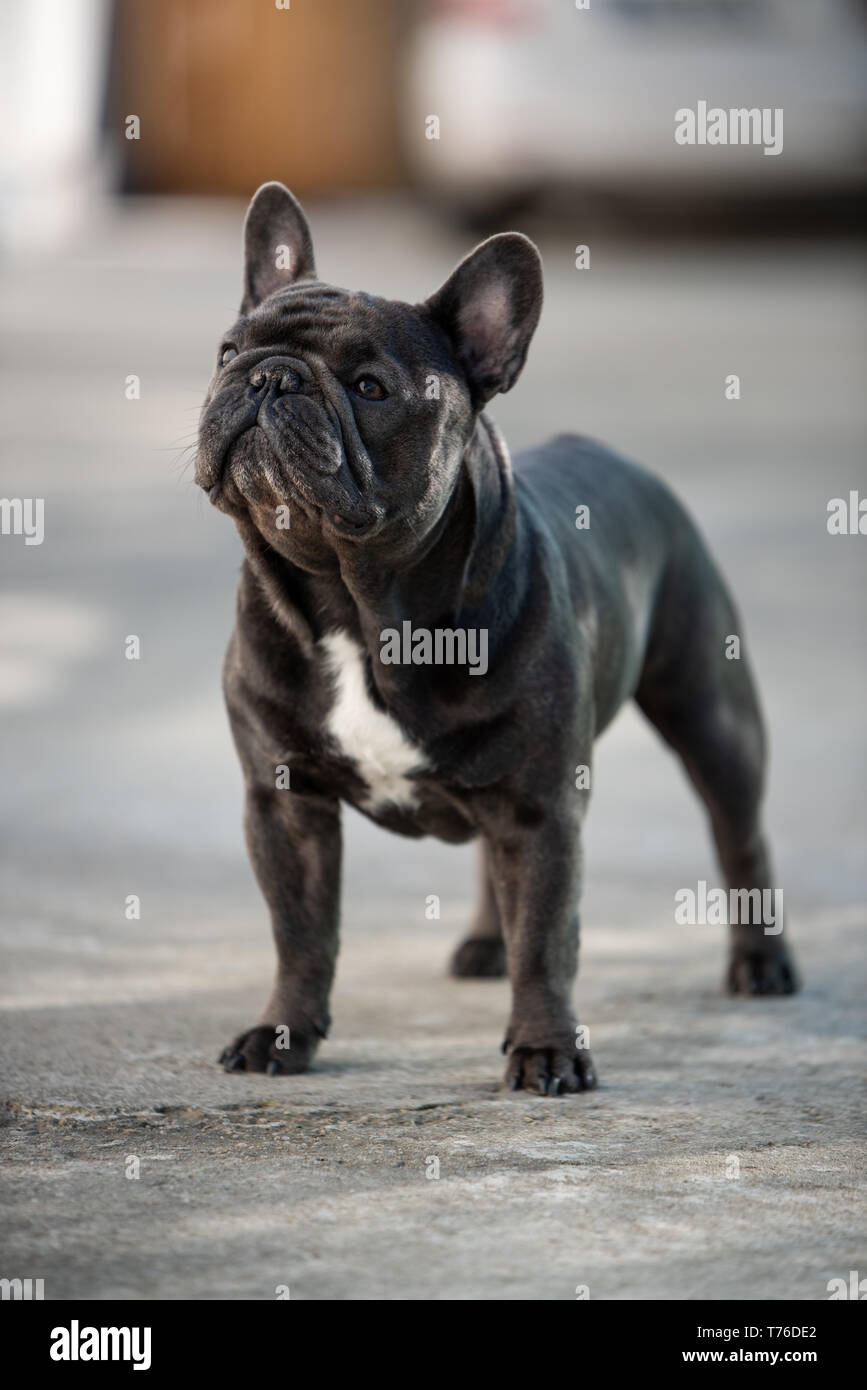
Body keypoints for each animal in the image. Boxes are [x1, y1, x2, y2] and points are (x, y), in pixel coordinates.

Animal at [195, 182, 800, 1095]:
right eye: (227, 350)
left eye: (370, 387)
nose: (268, 376)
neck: (355, 607)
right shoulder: (284, 802)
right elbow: (299, 931)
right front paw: (282, 1033)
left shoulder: (539, 807)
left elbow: (547, 939)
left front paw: (546, 1049)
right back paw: (486, 941)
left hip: (710, 712)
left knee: (741, 836)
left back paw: (760, 963)